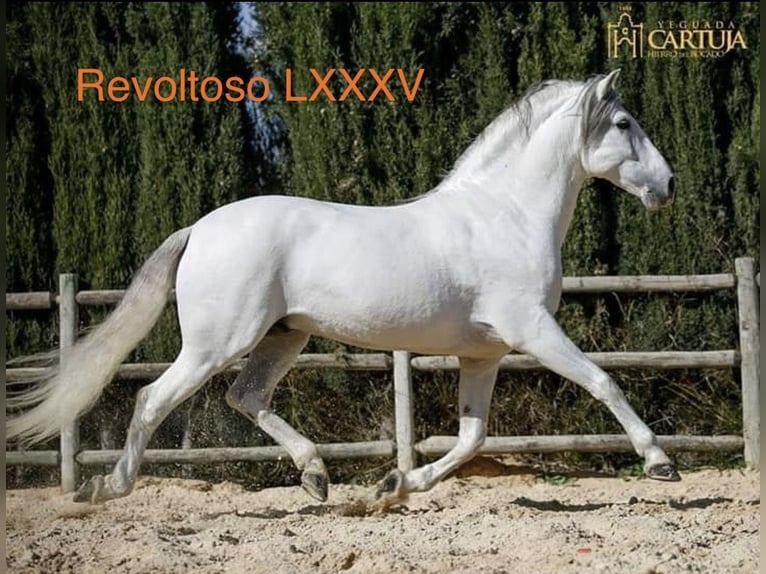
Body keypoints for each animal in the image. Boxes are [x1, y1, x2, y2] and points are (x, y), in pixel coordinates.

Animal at [7, 69, 678, 507]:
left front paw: (393, 487)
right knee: (155, 398)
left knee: (245, 397)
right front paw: (660, 463)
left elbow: (471, 438)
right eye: (624, 123)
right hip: (216, 343)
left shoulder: (484, 353)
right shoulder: (532, 329)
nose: (668, 185)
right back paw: (106, 487)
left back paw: (317, 476)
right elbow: (603, 382)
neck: (504, 214)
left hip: (283, 337)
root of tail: (199, 228)